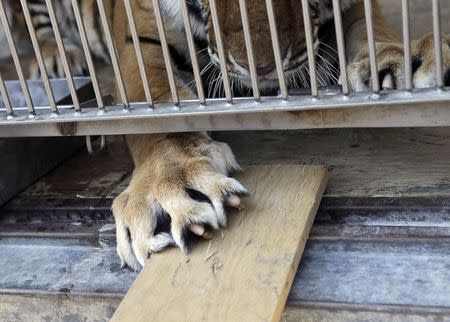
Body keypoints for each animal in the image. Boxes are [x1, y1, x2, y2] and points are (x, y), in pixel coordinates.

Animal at [10, 0, 450, 270]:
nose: (259, 68)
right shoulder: (139, 34)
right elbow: (153, 106)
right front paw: (169, 185)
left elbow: (372, 31)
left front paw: (408, 60)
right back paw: (59, 60)